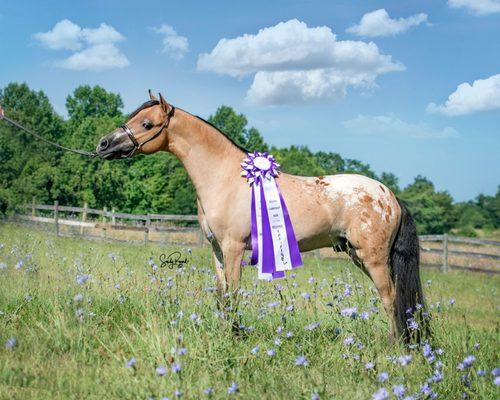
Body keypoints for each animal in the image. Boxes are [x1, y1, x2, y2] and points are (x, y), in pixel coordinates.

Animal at [95, 92, 428, 342]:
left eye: (146, 123)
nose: (103, 144)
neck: (225, 177)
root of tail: (389, 195)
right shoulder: (217, 250)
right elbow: (222, 294)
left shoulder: (233, 248)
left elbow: (234, 294)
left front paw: (234, 337)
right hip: (358, 255)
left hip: (373, 259)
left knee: (391, 298)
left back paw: (395, 346)